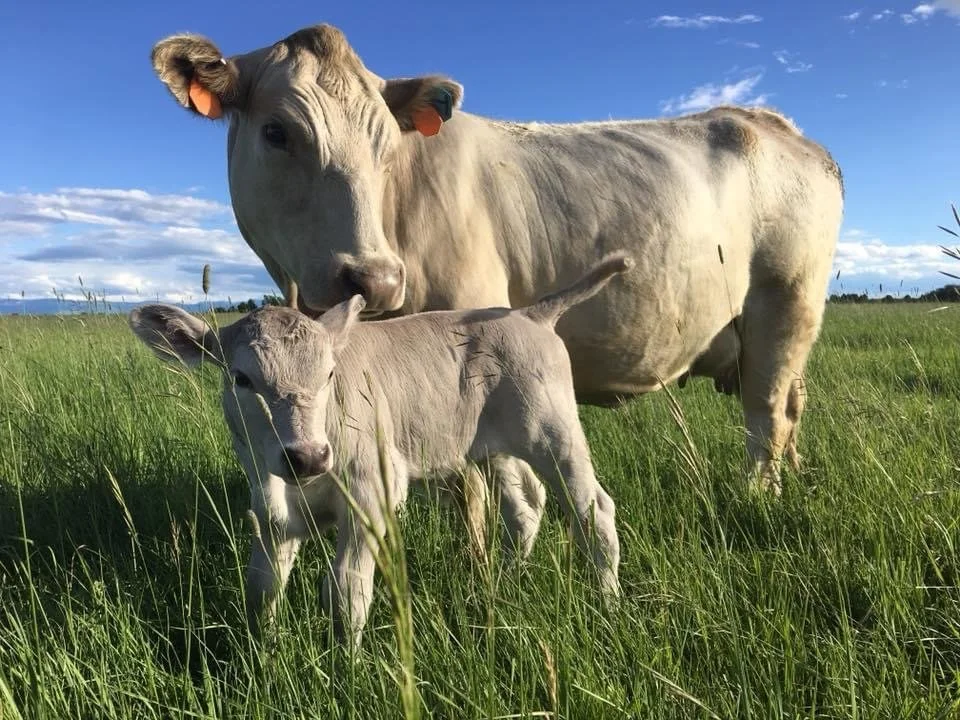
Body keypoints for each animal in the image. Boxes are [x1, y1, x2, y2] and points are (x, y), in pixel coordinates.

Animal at [128, 253, 634, 647]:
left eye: (330, 374)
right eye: (241, 378)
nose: (308, 455)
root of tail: (527, 314)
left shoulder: (370, 496)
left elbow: (346, 592)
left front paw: (346, 670)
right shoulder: (270, 510)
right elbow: (263, 586)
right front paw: (264, 654)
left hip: (554, 432)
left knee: (594, 511)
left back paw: (609, 606)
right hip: (491, 448)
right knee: (524, 507)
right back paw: (503, 585)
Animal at [150, 22, 844, 496]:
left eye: (385, 143)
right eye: (277, 133)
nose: (376, 278)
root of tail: (773, 123)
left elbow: (474, 488)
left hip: (786, 305)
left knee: (767, 417)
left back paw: (758, 497)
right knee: (792, 408)